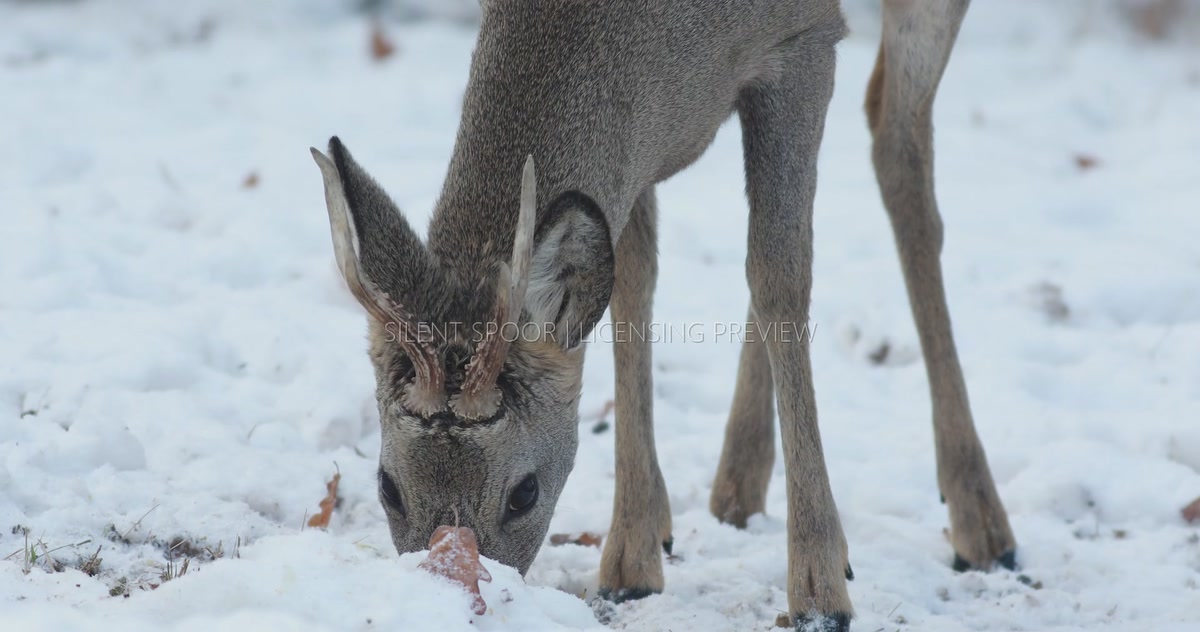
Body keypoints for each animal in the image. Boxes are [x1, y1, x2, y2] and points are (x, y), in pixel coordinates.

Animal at [310, 0, 1015, 629]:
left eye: (524, 492)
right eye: (386, 485)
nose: (451, 594)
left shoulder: (804, 37)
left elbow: (779, 272)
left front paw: (819, 588)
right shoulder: (637, 144)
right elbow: (634, 283)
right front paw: (633, 555)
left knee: (896, 140)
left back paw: (981, 519)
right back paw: (738, 479)